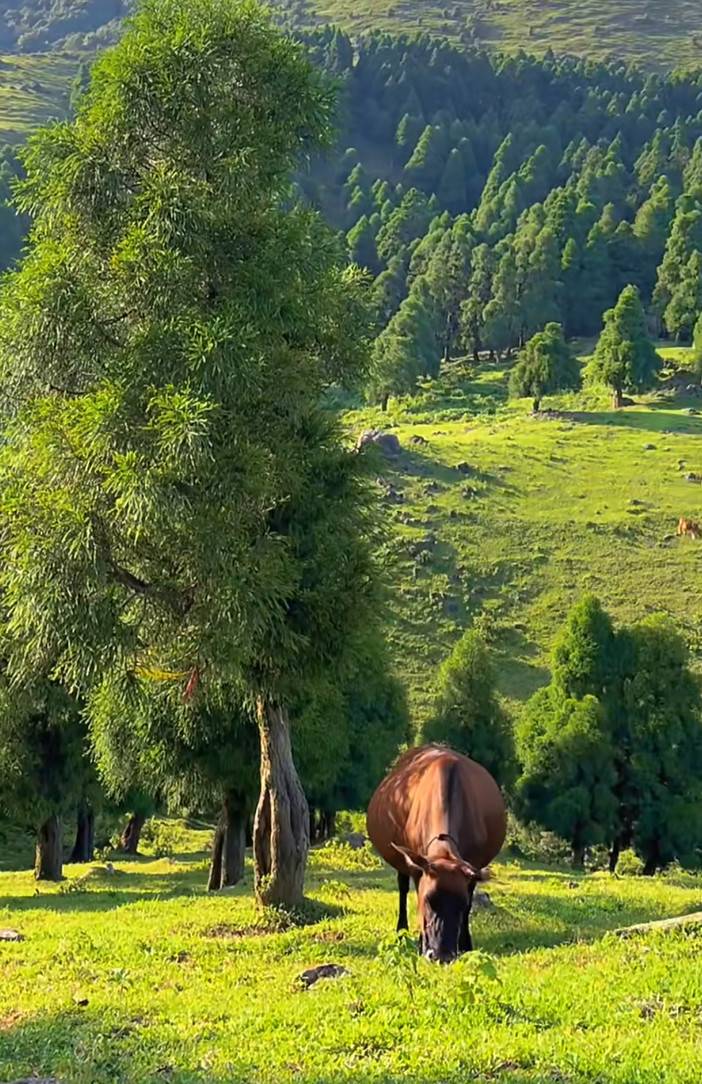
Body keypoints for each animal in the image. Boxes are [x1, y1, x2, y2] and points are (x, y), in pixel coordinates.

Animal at [366, 744, 506, 963]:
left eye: (461, 904)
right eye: (428, 899)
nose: (442, 955)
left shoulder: (473, 868)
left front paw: (465, 944)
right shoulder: (417, 868)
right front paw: (420, 944)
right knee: (402, 888)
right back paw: (401, 931)